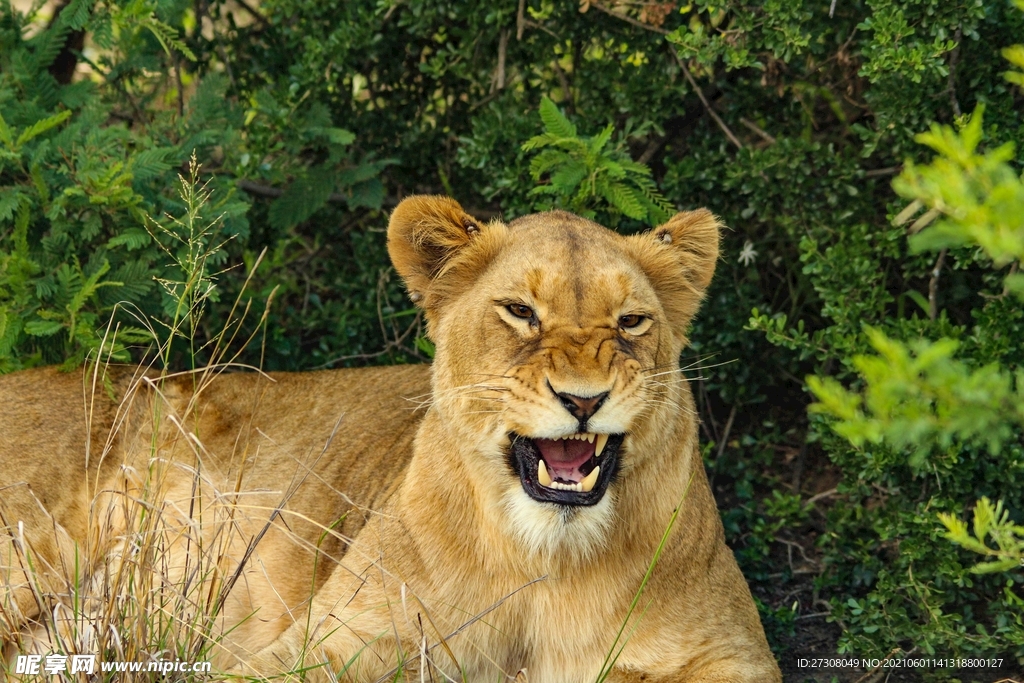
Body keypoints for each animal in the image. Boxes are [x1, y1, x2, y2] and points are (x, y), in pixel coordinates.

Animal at [2, 197, 782, 683]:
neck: (546, 562)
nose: (584, 399)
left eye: (631, 322)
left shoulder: (732, 654)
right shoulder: (328, 643)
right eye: (520, 311)